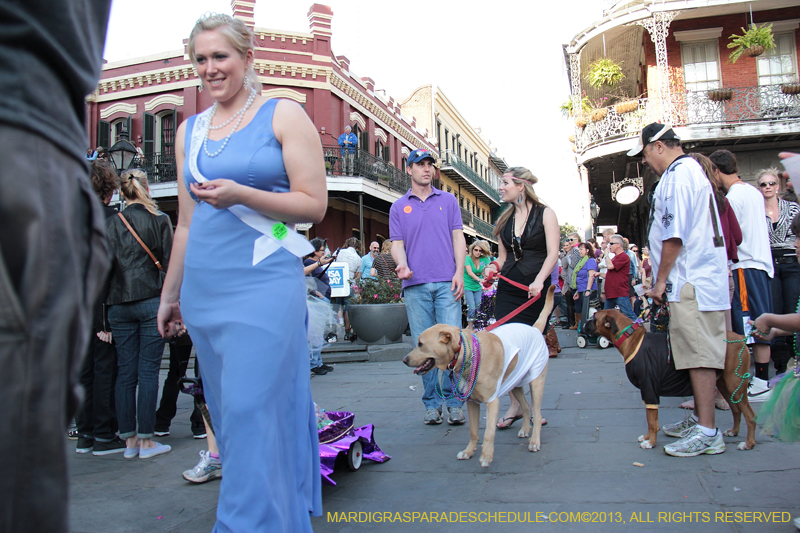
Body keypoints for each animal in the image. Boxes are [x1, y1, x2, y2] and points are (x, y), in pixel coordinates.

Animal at [404, 286, 552, 466]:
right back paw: (524, 429)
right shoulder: (472, 402)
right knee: (524, 406)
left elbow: (488, 432)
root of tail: (535, 328)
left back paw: (534, 441)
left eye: (420, 344)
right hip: (515, 382)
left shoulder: (492, 402)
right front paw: (468, 452)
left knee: (536, 414)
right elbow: (474, 432)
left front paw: (486, 456)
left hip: (536, 383)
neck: (466, 353)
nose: (405, 359)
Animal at [580, 308, 756, 448]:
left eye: (594, 317)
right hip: (726, 386)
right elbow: (650, 420)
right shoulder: (647, 392)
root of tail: (741, 339)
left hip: (735, 385)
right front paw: (647, 437)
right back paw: (734, 431)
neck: (630, 338)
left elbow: (652, 421)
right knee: (736, 410)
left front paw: (650, 442)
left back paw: (748, 444)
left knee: (749, 415)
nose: (583, 324)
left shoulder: (649, 388)